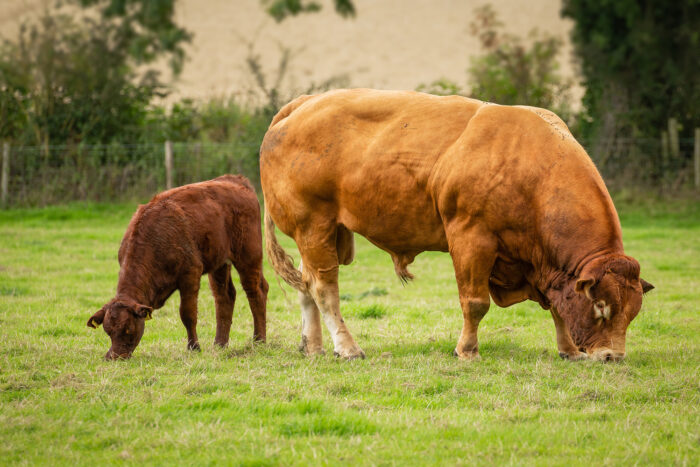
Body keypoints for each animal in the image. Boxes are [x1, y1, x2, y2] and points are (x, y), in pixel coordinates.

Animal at [87, 174, 268, 360]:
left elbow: (187, 314)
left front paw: (194, 347)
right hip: (220, 264)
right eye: (108, 331)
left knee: (256, 292)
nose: (113, 357)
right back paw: (220, 344)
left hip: (248, 257)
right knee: (224, 296)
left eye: (128, 329)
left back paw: (259, 340)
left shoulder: (190, 275)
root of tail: (236, 181)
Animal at [260, 89, 654, 362]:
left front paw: (569, 349)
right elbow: (475, 303)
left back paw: (313, 345)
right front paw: (467, 350)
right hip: (314, 226)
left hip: (324, 234)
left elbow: (558, 306)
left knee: (306, 285)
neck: (534, 168)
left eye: (632, 313)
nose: (612, 357)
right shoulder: (472, 239)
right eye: (601, 307)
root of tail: (305, 102)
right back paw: (347, 346)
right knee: (324, 288)